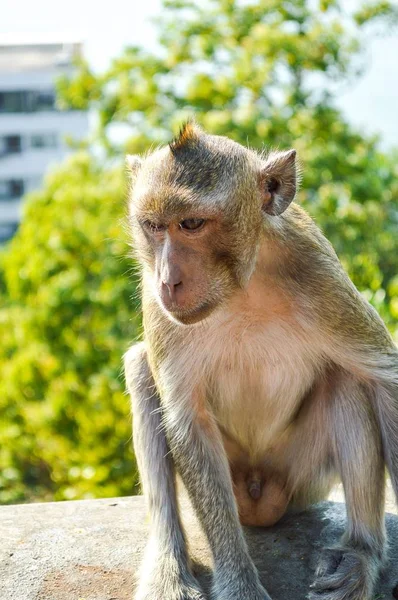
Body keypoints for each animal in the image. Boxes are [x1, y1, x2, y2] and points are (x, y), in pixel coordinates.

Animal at [124, 122, 398, 600]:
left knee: (346, 381)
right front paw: (239, 584)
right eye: (153, 227)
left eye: (191, 224)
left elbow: (384, 379)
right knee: (142, 369)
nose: (168, 281)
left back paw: (360, 553)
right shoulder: (159, 311)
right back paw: (168, 565)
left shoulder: (321, 277)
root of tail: (260, 497)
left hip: (303, 476)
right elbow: (187, 419)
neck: (240, 287)